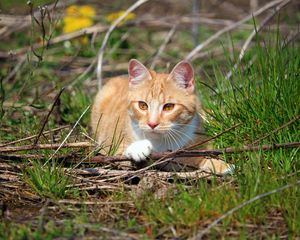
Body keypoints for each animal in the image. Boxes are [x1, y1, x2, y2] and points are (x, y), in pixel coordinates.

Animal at [91, 59, 234, 173]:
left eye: (169, 107)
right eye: (142, 105)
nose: (152, 124)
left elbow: (200, 157)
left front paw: (221, 165)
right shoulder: (115, 151)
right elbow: (121, 155)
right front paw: (139, 147)